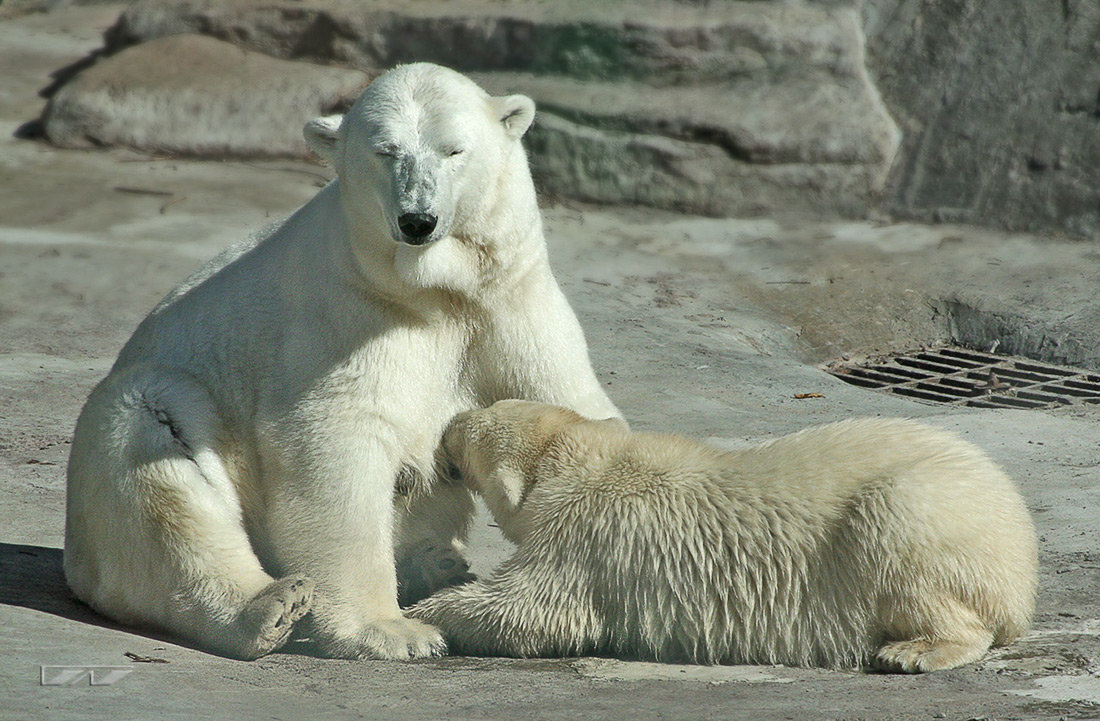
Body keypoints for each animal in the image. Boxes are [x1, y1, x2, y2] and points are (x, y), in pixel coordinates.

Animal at [64, 64, 624, 664]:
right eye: (385, 151)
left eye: (454, 150)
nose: (417, 220)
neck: (431, 290)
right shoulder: (343, 319)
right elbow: (334, 444)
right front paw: (395, 631)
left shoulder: (510, 301)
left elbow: (569, 403)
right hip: (140, 433)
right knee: (155, 458)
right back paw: (269, 607)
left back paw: (434, 562)